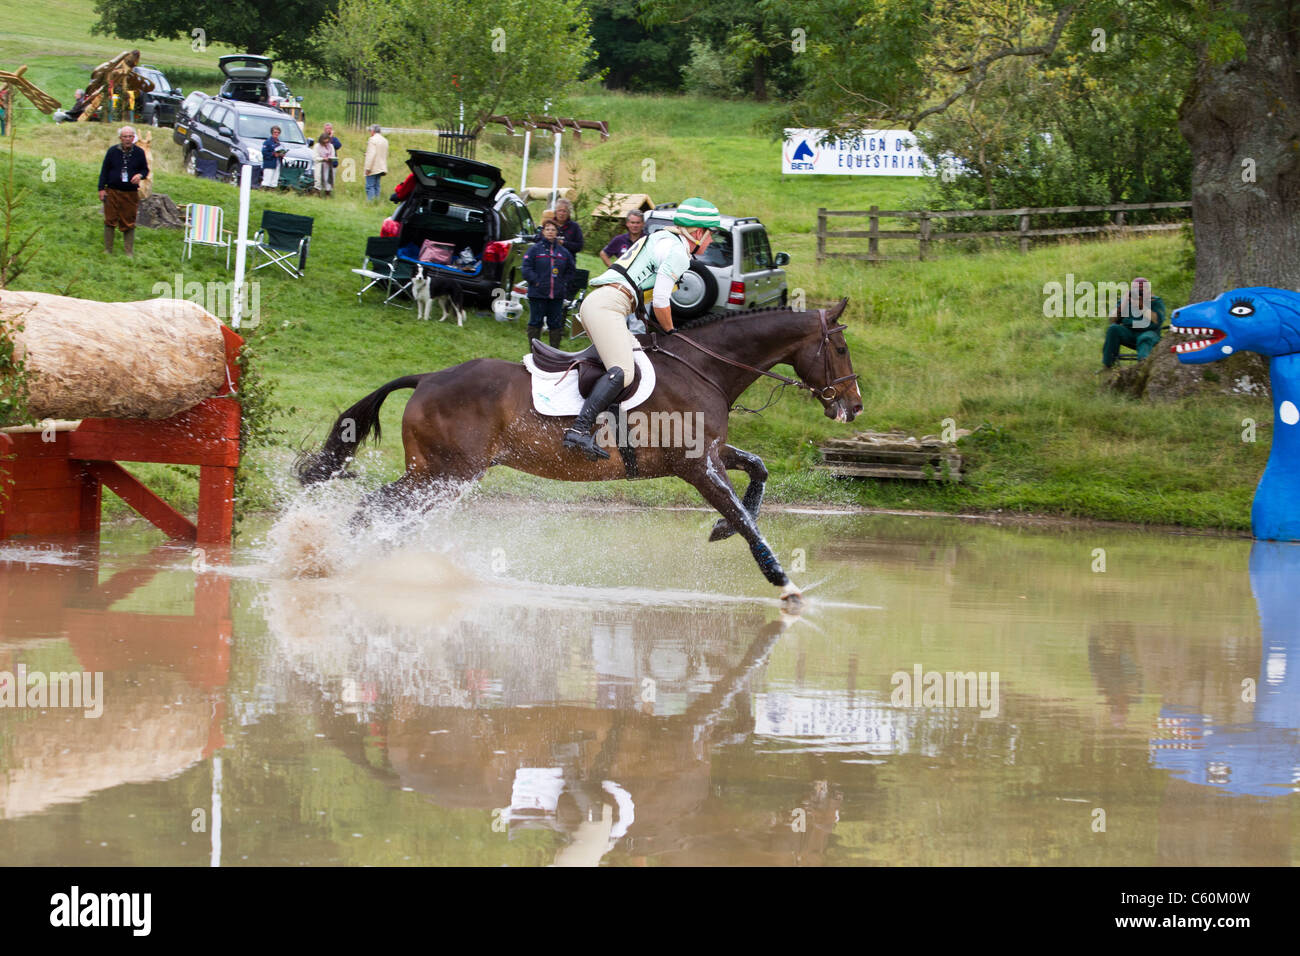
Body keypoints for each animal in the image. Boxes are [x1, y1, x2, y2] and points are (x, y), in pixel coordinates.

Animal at [296, 299, 863, 600]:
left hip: (441, 477)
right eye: (839, 348)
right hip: (443, 473)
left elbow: (758, 471)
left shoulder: (709, 456)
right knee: (373, 507)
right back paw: (335, 565)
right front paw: (785, 584)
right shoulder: (696, 467)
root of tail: (428, 378)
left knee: (391, 516)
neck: (706, 368)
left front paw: (722, 529)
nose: (854, 406)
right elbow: (748, 521)